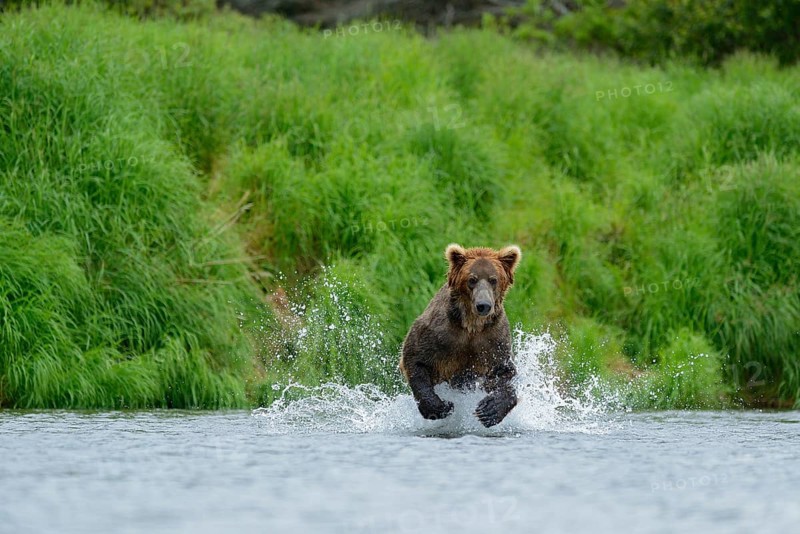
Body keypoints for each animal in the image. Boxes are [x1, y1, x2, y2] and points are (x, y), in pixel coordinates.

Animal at [399, 243, 522, 427]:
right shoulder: (441, 332)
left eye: (493, 280)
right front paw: (439, 407)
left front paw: (489, 410)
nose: (483, 305)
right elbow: (415, 358)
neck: (471, 325)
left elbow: (504, 371)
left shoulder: (493, 339)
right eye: (472, 279)